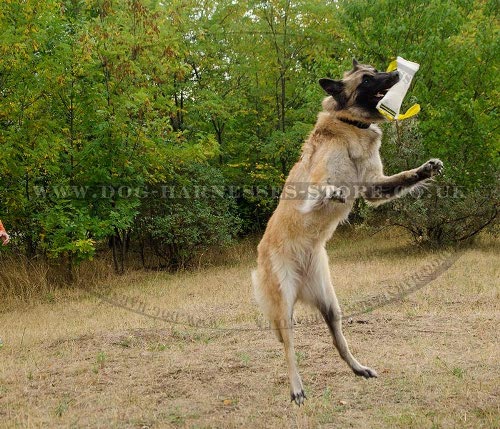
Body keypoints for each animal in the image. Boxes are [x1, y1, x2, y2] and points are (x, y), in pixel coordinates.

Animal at [252, 58, 444, 402]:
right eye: (367, 79)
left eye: (377, 70)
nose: (397, 73)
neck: (351, 125)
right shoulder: (311, 188)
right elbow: (324, 190)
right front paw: (334, 192)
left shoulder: (373, 187)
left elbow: (403, 178)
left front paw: (425, 169)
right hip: (284, 306)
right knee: (289, 350)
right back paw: (296, 387)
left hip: (331, 304)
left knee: (338, 341)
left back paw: (358, 368)